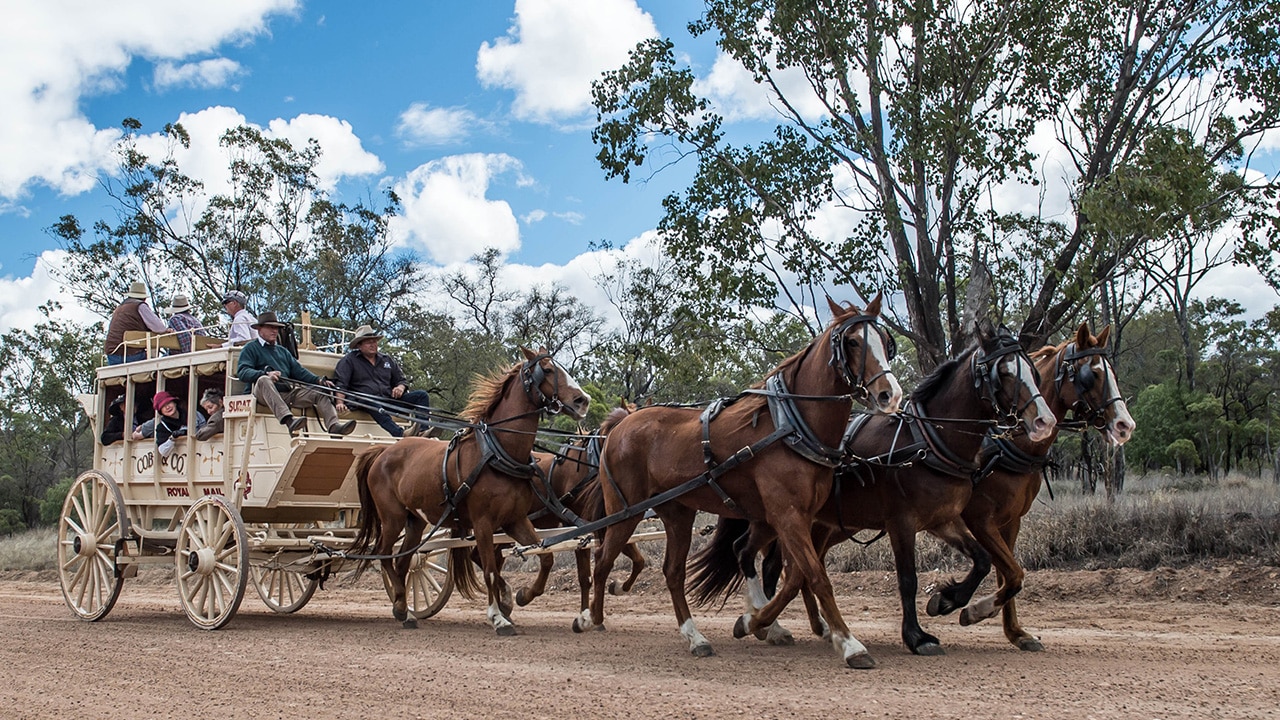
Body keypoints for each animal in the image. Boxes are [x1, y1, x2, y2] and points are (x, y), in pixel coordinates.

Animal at [350, 348, 588, 632]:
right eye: (548, 370)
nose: (583, 400)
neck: (499, 454)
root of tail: (383, 450)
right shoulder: (483, 523)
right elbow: (490, 570)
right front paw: (498, 616)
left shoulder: (515, 520)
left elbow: (546, 557)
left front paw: (522, 595)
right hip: (392, 517)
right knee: (385, 555)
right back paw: (402, 607)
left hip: (415, 521)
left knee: (404, 561)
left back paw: (402, 608)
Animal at [576, 293, 906, 666]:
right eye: (851, 341)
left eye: (886, 342)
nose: (890, 395)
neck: (791, 424)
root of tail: (619, 426)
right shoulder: (787, 515)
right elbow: (815, 576)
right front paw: (850, 644)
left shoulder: (795, 517)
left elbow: (794, 575)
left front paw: (759, 622)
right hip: (626, 511)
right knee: (604, 560)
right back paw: (591, 617)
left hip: (678, 514)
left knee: (673, 572)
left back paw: (696, 637)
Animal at [696, 319, 1054, 655]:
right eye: (1003, 372)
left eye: (1033, 371)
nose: (1045, 422)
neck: (927, 441)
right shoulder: (903, 522)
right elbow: (908, 580)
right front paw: (917, 636)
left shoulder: (943, 520)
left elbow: (982, 561)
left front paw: (949, 602)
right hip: (783, 518)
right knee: (760, 559)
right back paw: (765, 621)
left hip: (810, 523)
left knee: (767, 561)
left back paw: (774, 621)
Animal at [921, 322, 1141, 648]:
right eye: (1091, 375)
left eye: (1111, 372)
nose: (1125, 425)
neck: (1007, 446)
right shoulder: (979, 518)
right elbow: (1013, 573)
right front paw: (969, 607)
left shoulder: (1010, 521)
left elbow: (1009, 575)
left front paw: (1016, 632)